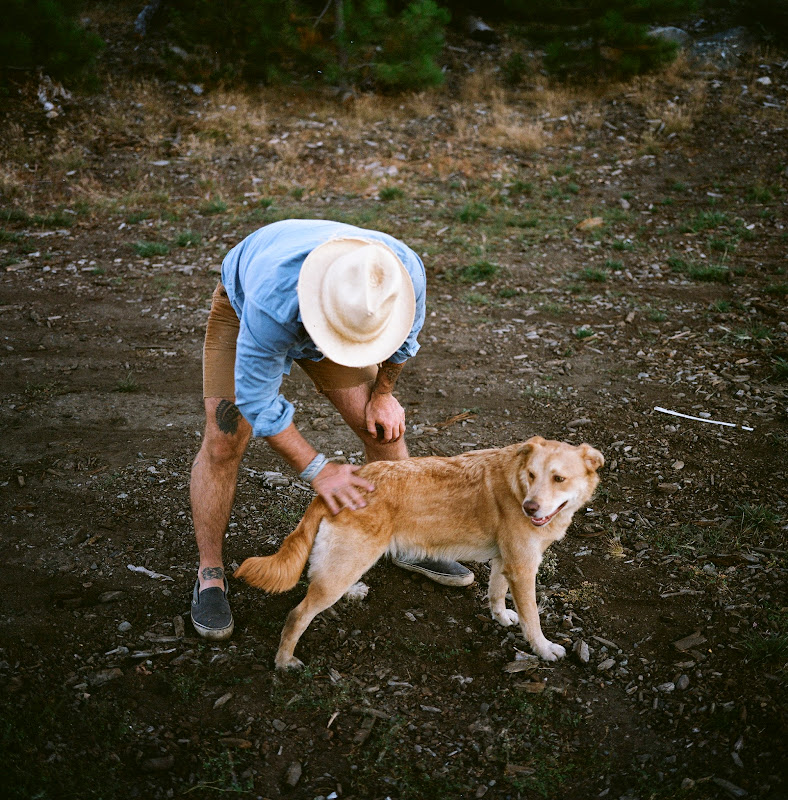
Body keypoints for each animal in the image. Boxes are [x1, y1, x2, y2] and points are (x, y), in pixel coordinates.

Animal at [235, 436, 604, 670]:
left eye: (558, 479)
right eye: (532, 475)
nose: (530, 508)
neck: (516, 484)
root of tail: (331, 489)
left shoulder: (506, 560)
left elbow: (497, 594)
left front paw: (501, 618)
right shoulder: (523, 567)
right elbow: (533, 619)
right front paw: (543, 649)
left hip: (346, 563)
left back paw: (352, 591)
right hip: (346, 565)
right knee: (298, 615)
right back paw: (284, 661)